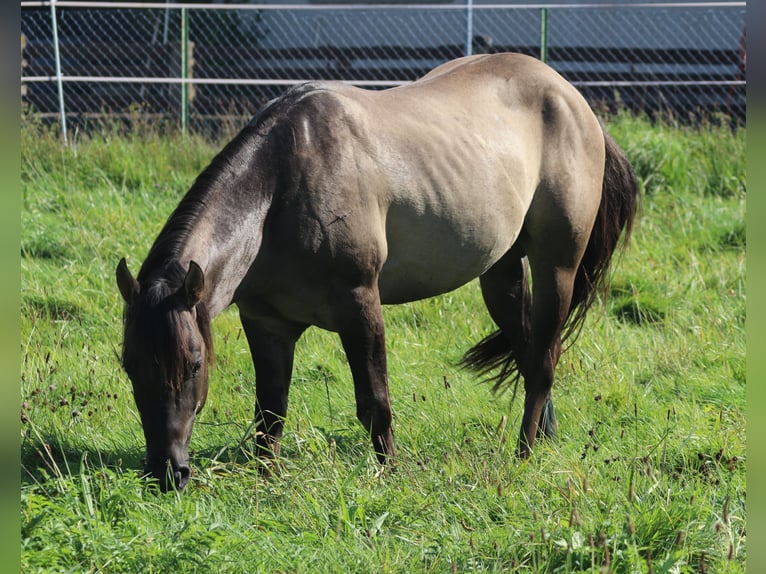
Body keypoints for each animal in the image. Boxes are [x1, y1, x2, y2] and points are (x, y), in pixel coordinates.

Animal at [115, 54, 640, 492]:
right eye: (129, 364)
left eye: (194, 364)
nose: (168, 473)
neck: (281, 189)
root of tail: (573, 99)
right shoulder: (267, 323)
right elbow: (270, 410)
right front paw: (266, 479)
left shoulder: (359, 304)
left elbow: (374, 402)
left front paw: (390, 474)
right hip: (501, 271)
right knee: (530, 353)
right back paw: (542, 437)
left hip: (557, 267)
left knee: (546, 359)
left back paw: (524, 454)